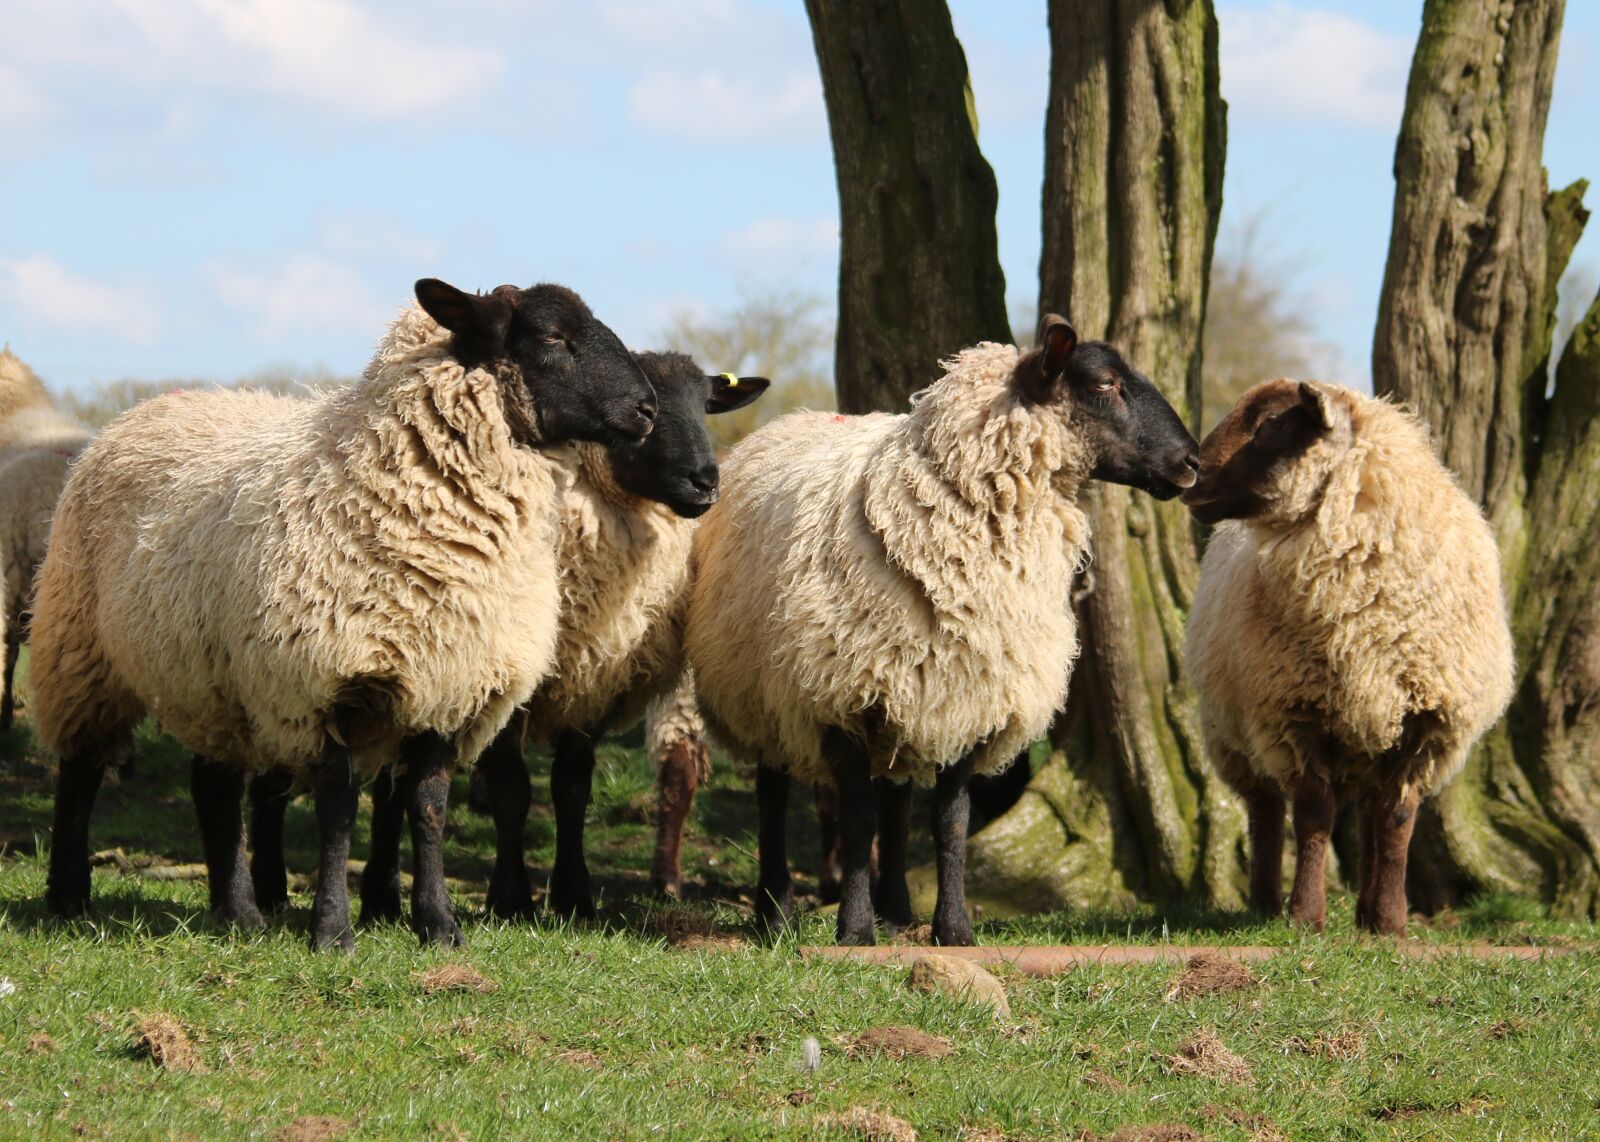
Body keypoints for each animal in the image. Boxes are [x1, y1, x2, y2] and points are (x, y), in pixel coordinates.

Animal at [32, 279, 656, 946]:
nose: (647, 410)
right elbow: (338, 809)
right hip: (80, 648)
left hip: (210, 676)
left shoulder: (451, 681)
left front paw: (438, 924)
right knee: (80, 771)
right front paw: (332, 930)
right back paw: (68, 895)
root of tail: (144, 411)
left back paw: (238, 913)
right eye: (551, 336)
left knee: (213, 787)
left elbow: (428, 808)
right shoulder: (326, 681)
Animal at [688, 318, 1203, 940]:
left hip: (905, 689)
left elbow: (949, 822)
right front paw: (854, 930)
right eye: (1105, 383)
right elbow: (856, 820)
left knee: (896, 798)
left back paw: (895, 907)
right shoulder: (840, 696)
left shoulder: (969, 694)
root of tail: (786, 423)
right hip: (761, 685)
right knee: (773, 793)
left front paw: (952, 928)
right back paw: (775, 911)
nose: (1193, 461)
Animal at [1184, 377, 1516, 927]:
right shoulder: (1297, 712)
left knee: (1368, 816)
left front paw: (1390, 922)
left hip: (1370, 732)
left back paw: (1366, 911)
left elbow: (1396, 820)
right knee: (1265, 813)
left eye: (1271, 424)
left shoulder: (1426, 724)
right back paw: (1265, 905)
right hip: (1236, 737)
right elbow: (1313, 816)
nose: (1191, 477)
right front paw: (1305, 916)